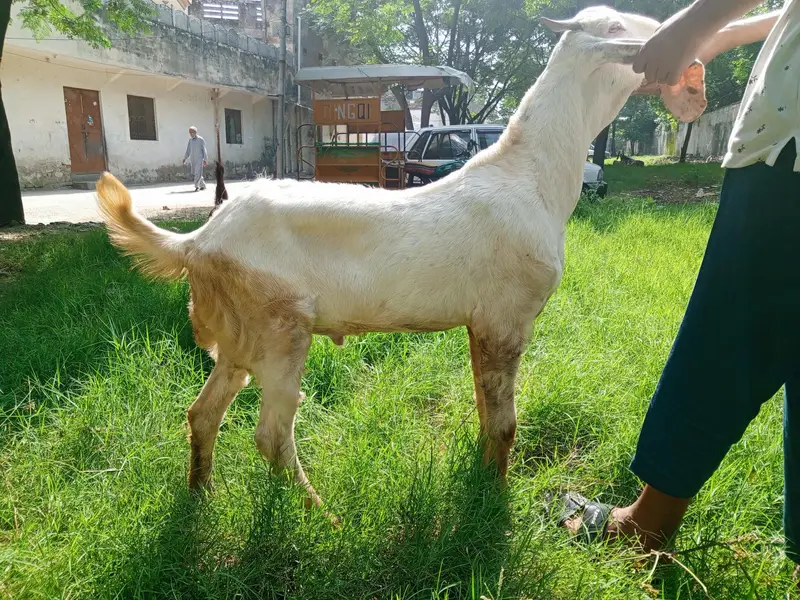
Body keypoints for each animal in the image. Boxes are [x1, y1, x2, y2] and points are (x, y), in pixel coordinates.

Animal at [95, 6, 706, 509]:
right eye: (619, 28)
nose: (686, 57)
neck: (529, 176)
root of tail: (198, 240)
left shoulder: (480, 323)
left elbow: (485, 410)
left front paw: (482, 479)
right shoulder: (507, 316)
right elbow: (505, 424)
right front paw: (497, 503)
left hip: (241, 336)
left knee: (204, 412)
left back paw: (201, 494)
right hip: (281, 324)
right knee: (270, 432)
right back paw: (318, 513)